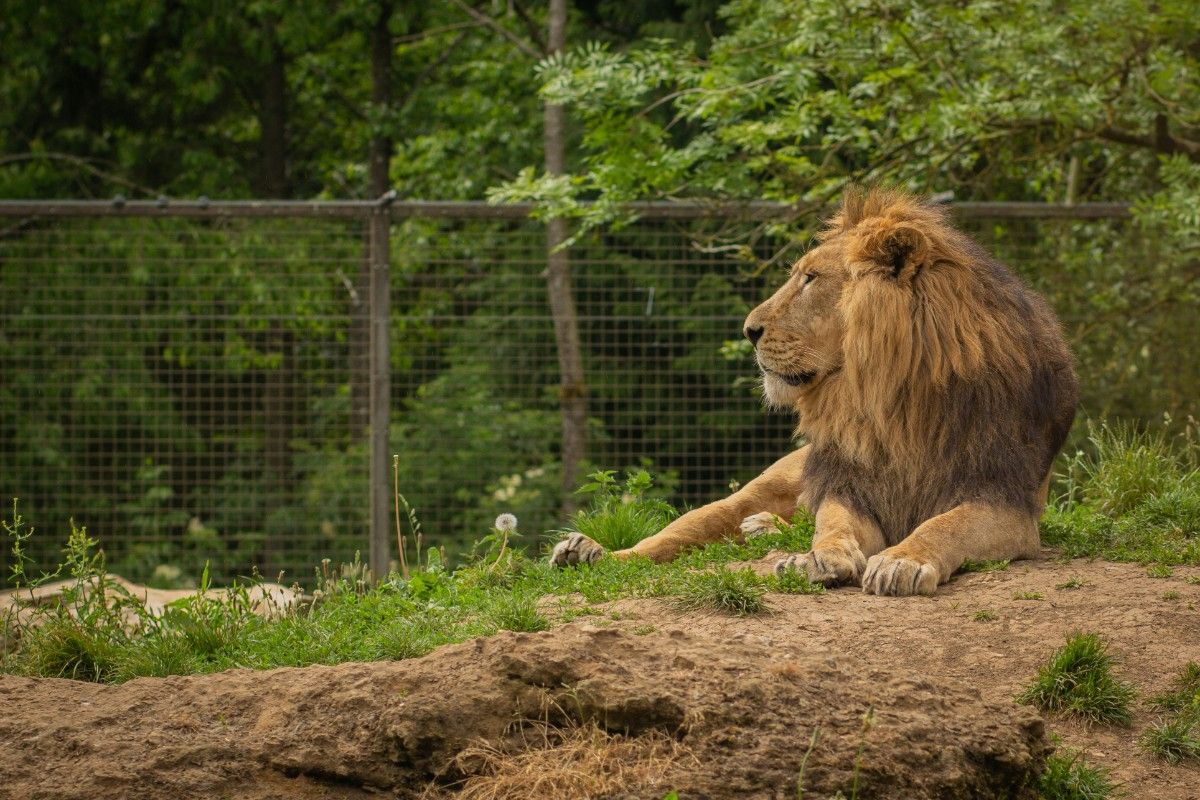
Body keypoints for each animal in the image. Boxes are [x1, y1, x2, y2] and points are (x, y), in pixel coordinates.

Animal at [552, 188, 1080, 597]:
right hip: (758, 488)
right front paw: (819, 560)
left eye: (811, 278)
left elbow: (945, 524)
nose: (749, 330)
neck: (891, 400)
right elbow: (833, 526)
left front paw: (902, 560)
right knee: (671, 537)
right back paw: (590, 553)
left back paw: (765, 530)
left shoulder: (1008, 503)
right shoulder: (851, 486)